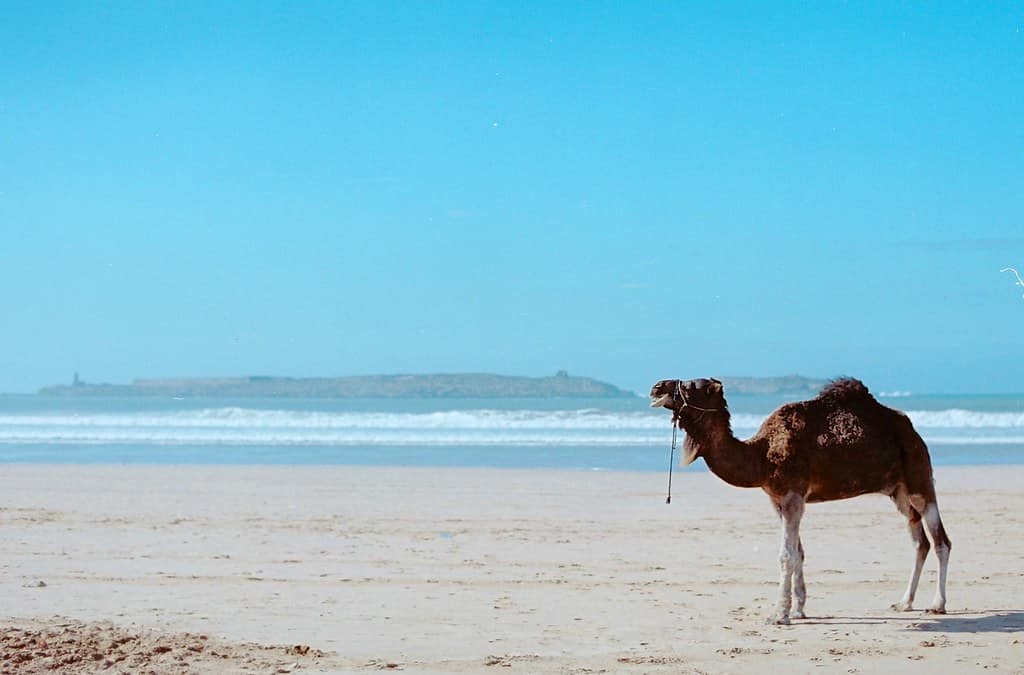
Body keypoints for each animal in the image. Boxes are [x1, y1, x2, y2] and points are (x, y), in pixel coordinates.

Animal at [649, 377, 951, 625]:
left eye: (691, 384)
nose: (657, 386)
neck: (761, 456)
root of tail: (912, 431)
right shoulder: (778, 500)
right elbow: (799, 551)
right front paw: (798, 609)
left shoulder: (793, 495)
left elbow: (786, 555)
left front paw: (779, 615)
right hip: (898, 491)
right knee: (919, 542)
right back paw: (904, 602)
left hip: (919, 477)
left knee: (940, 541)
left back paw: (937, 604)